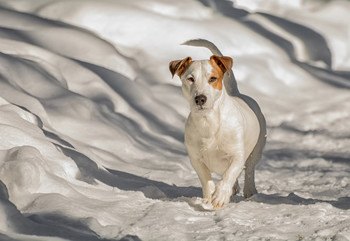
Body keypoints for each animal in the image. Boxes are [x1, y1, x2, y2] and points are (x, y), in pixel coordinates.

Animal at [169, 38, 266, 208]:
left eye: (213, 79)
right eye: (190, 79)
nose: (200, 98)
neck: (209, 122)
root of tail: (237, 94)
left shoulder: (237, 155)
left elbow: (229, 174)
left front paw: (220, 196)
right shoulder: (196, 159)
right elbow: (206, 179)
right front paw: (209, 198)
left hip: (257, 149)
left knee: (249, 169)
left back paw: (249, 190)